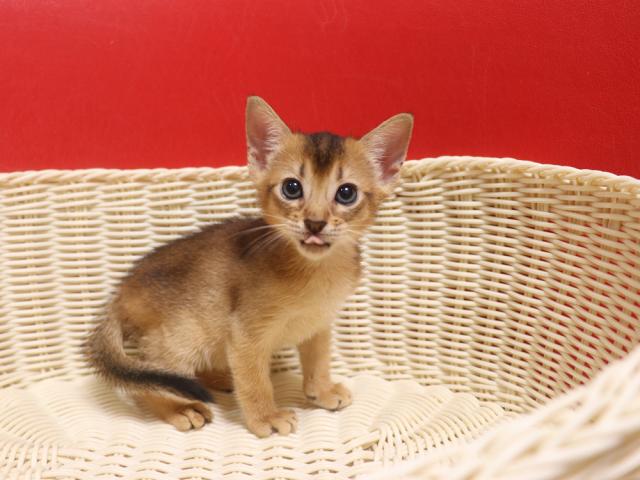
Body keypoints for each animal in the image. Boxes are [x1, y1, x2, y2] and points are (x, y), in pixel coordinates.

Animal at [88, 96, 413, 437]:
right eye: (292, 187)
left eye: (346, 193)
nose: (315, 223)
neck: (317, 273)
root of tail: (120, 294)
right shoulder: (245, 333)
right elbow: (255, 380)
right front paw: (266, 417)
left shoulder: (318, 324)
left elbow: (318, 361)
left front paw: (321, 391)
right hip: (183, 336)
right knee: (145, 382)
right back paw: (182, 408)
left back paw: (218, 378)